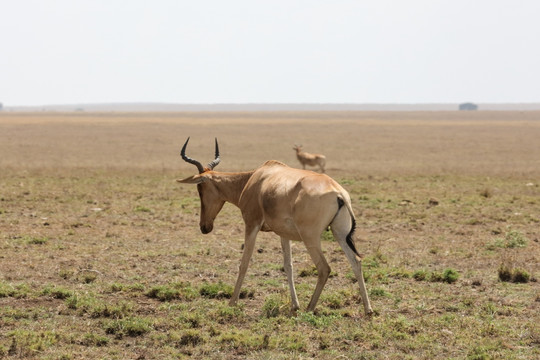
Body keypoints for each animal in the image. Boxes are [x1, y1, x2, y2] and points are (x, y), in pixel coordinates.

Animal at [177, 138, 372, 316]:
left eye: (200, 189)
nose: (205, 227)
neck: (256, 178)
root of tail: (338, 193)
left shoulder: (251, 224)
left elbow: (244, 262)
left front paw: (232, 302)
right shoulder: (283, 233)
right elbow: (288, 266)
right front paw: (294, 305)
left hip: (310, 237)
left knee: (324, 268)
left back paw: (310, 308)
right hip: (339, 234)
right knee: (356, 261)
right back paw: (368, 309)